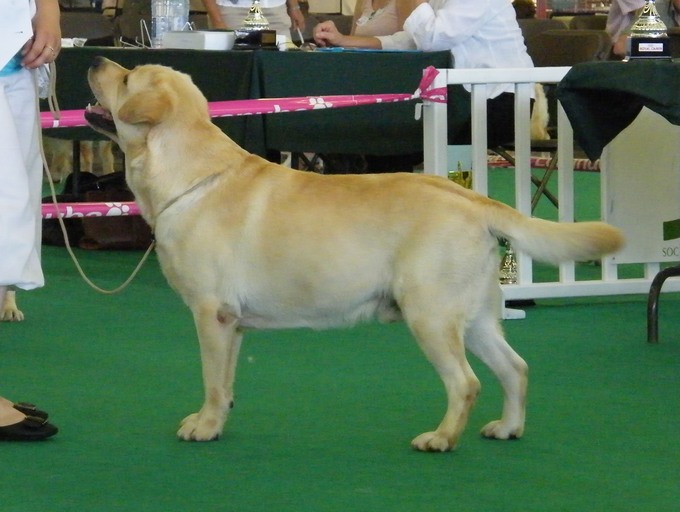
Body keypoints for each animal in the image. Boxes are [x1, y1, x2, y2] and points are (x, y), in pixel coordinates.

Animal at [87, 58, 624, 452]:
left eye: (127, 77)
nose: (96, 59)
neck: (190, 177)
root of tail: (472, 198)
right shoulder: (233, 323)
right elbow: (227, 380)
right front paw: (216, 419)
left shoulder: (210, 313)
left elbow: (212, 380)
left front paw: (205, 427)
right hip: (474, 315)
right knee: (515, 368)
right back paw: (507, 427)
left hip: (429, 313)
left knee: (465, 382)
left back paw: (440, 438)